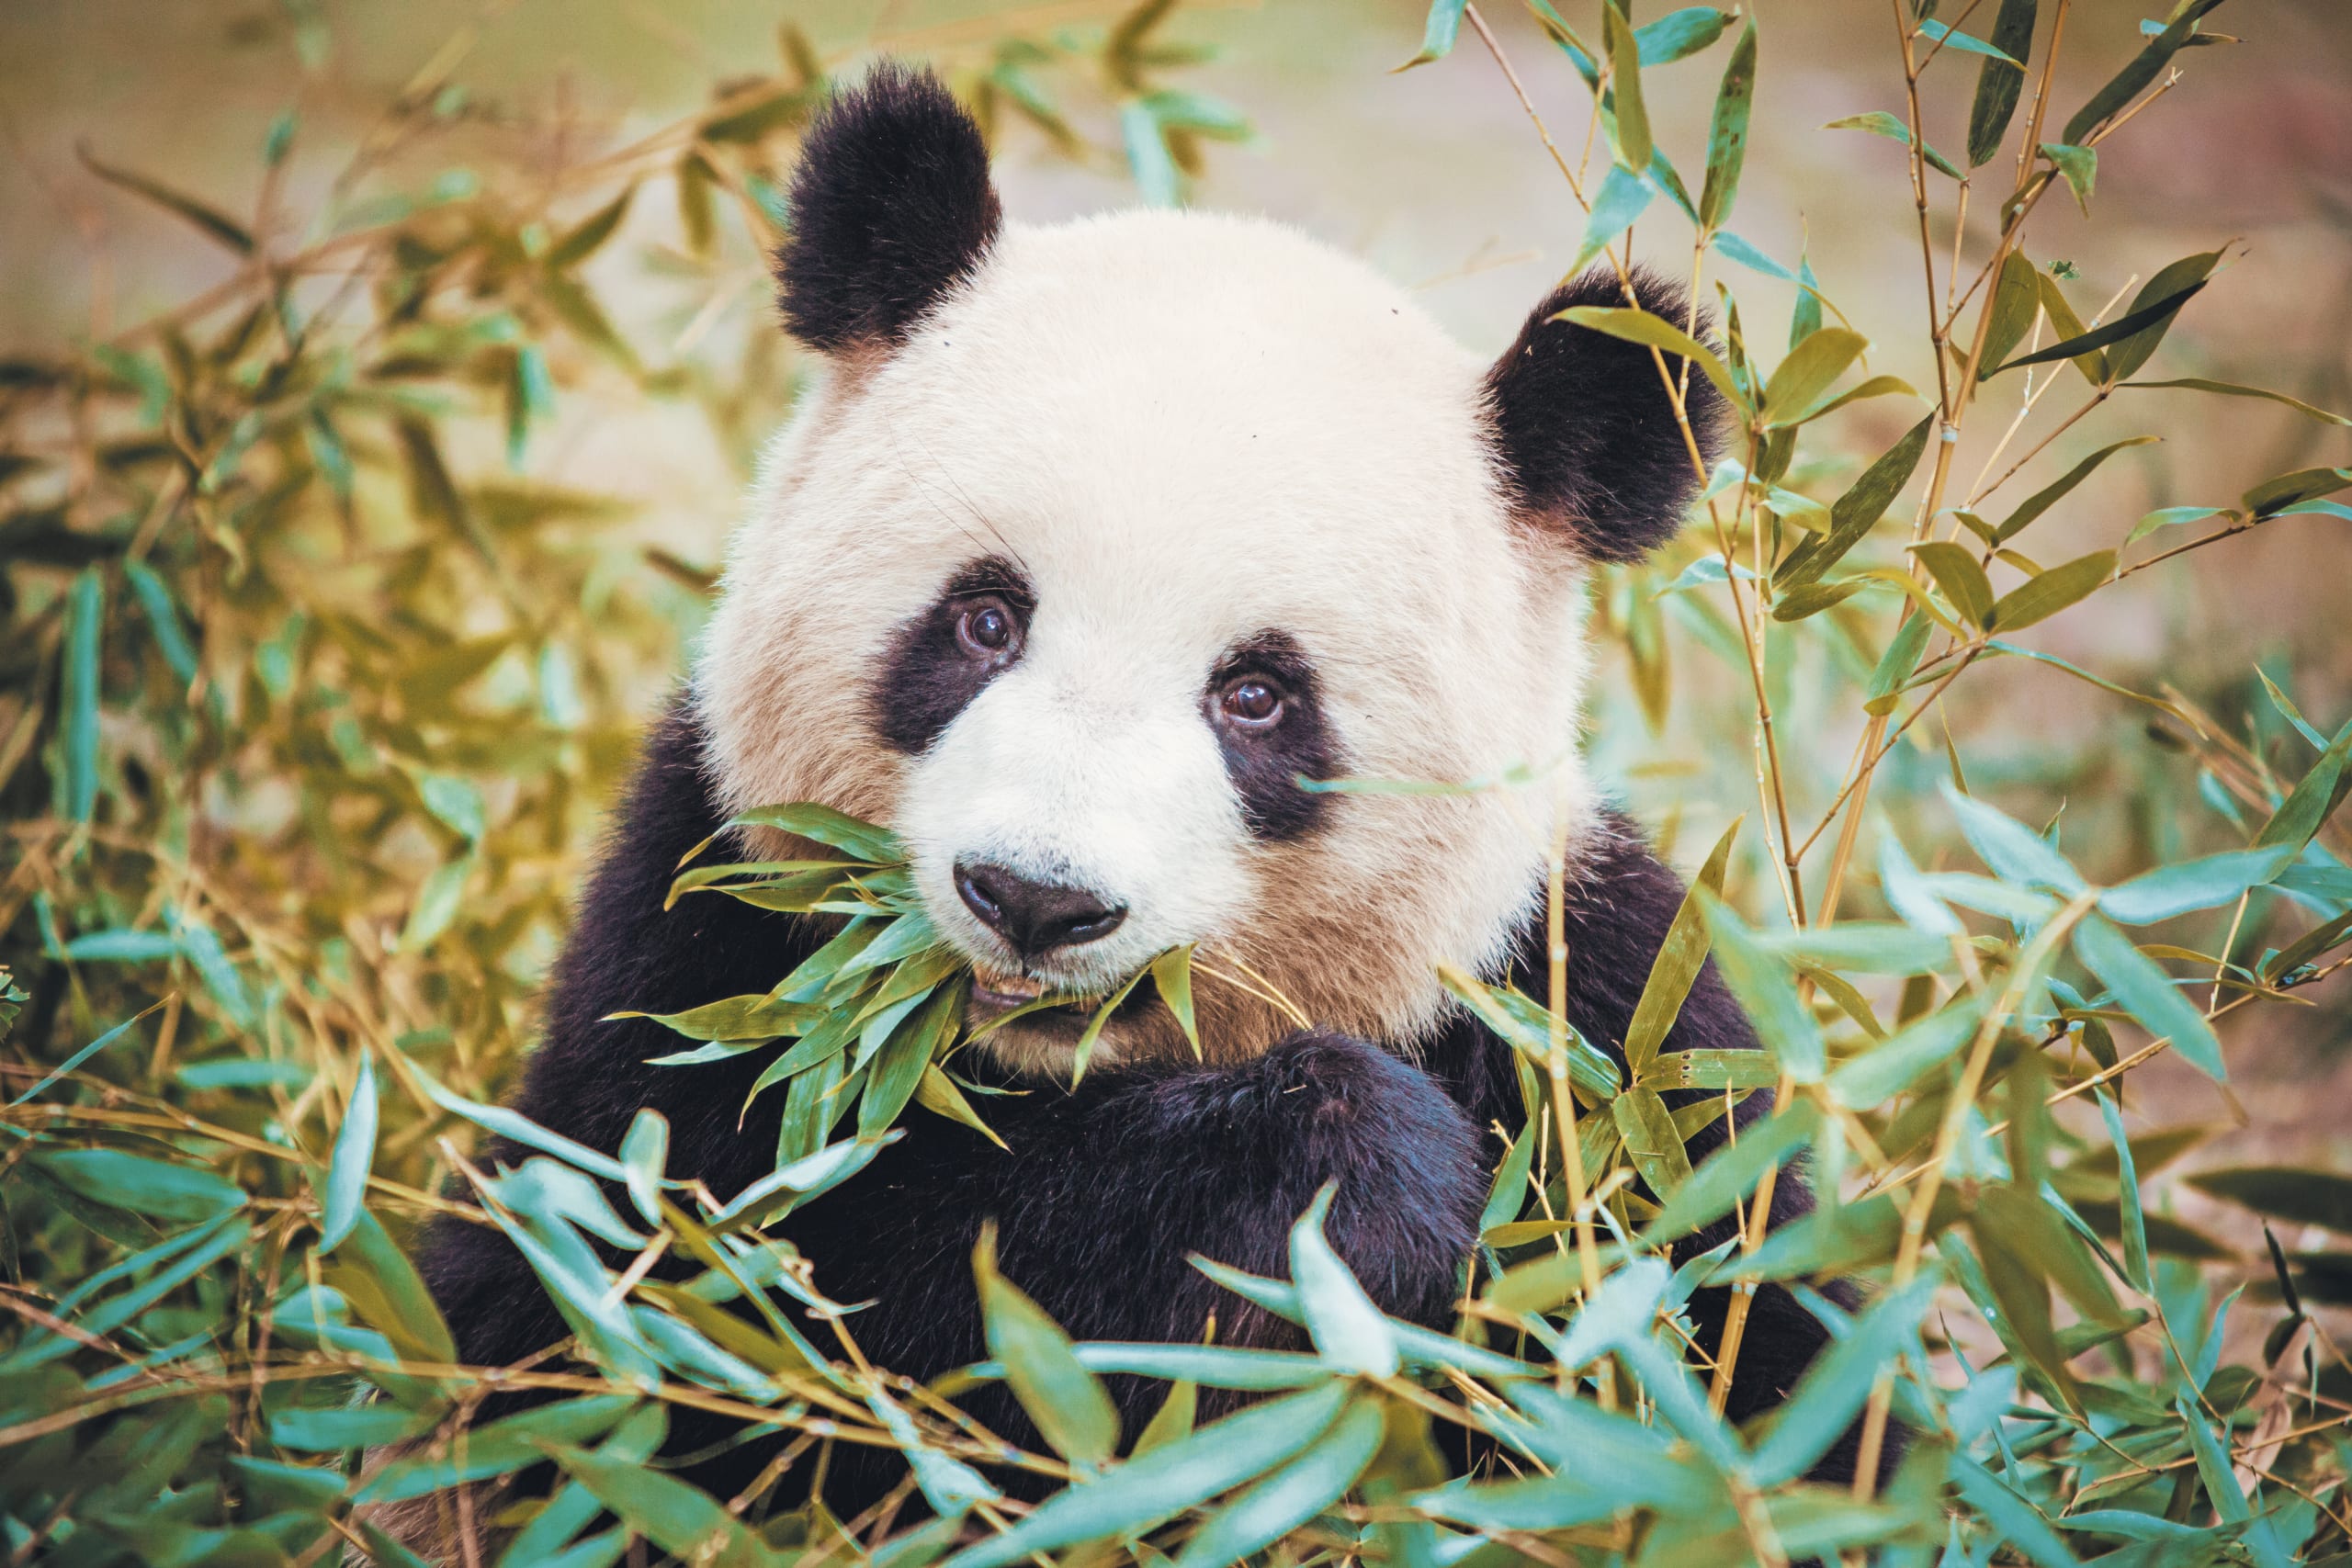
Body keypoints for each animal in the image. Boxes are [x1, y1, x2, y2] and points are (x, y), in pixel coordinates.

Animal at [417, 62, 1860, 1529]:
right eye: (985, 619)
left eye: (1258, 694)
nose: (1035, 899)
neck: (1046, 1069)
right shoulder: (708, 932)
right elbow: (700, 1322)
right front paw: (1345, 1174)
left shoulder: (1602, 1029)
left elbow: (1760, 1365)